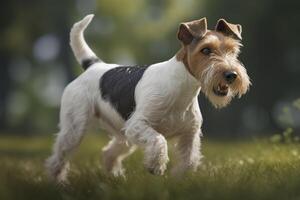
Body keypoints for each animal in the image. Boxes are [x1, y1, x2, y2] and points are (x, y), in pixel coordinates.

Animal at [45, 14, 251, 181]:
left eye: (233, 50)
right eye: (206, 50)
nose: (231, 75)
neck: (182, 88)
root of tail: (94, 65)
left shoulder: (189, 135)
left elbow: (189, 161)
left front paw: (178, 179)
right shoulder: (138, 124)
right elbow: (159, 141)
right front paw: (156, 167)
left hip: (122, 134)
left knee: (108, 154)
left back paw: (116, 177)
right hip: (76, 128)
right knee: (57, 159)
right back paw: (59, 183)